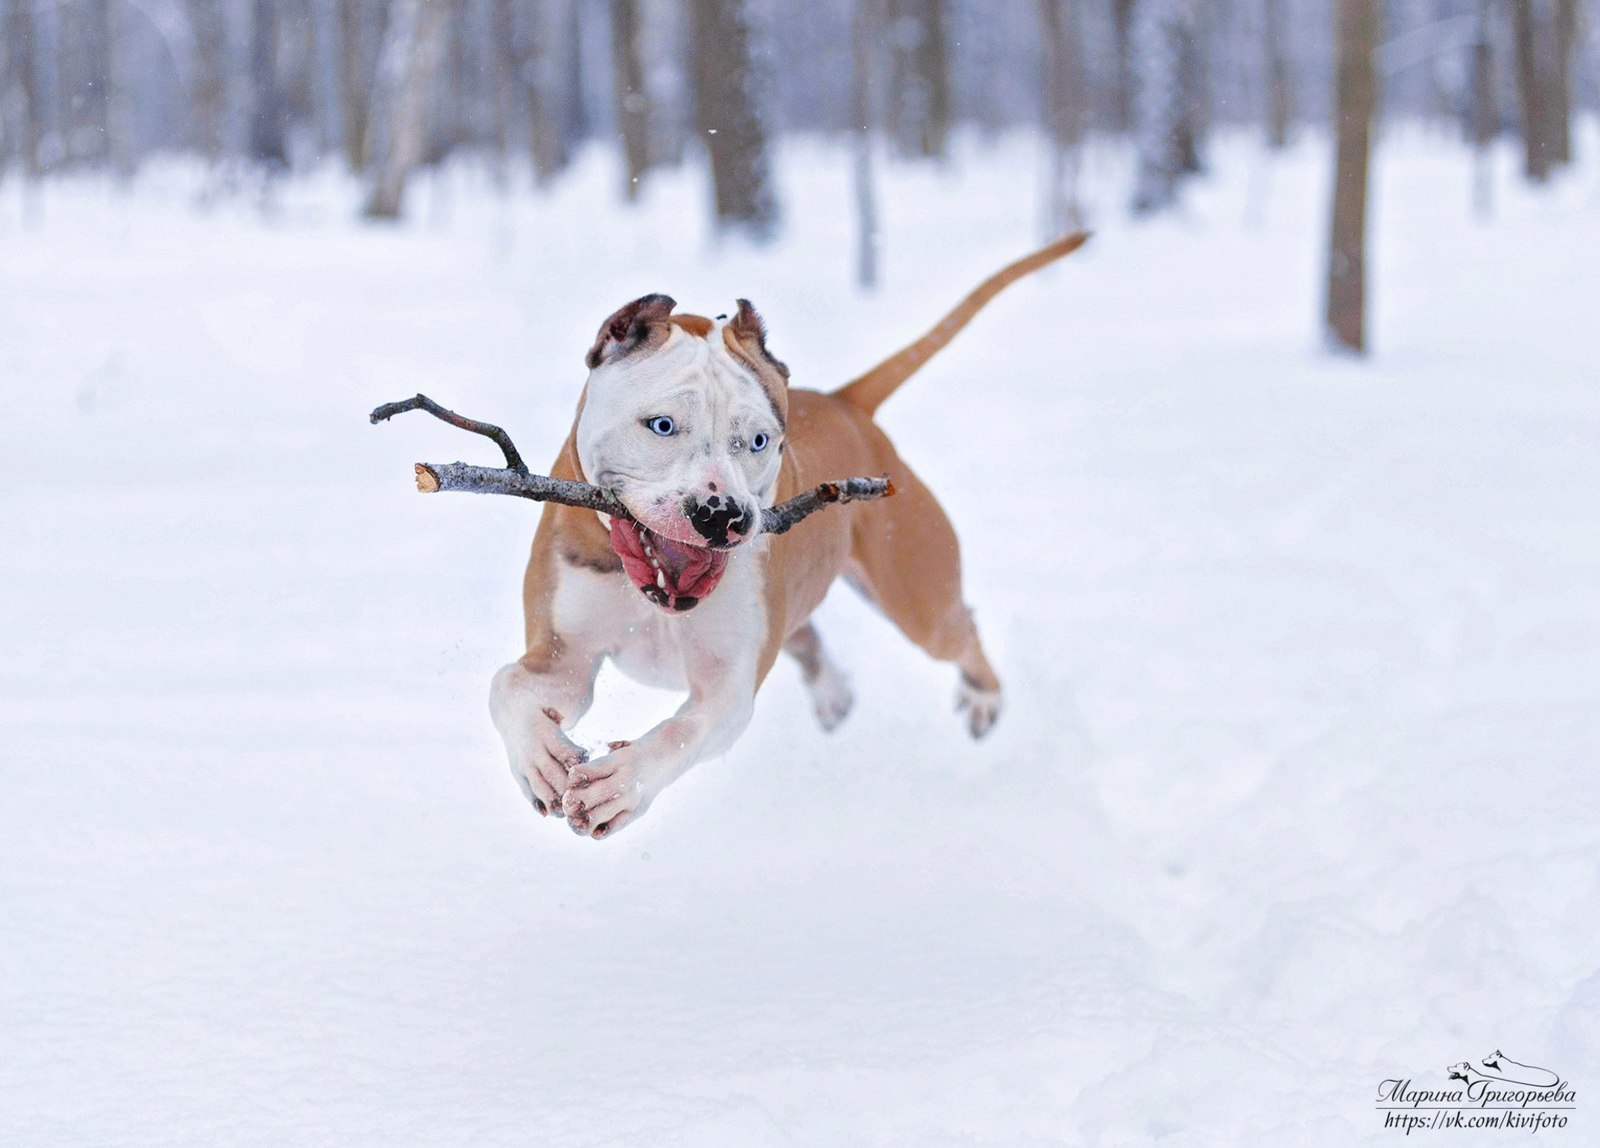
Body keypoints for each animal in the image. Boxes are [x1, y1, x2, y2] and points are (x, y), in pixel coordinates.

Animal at [486, 231, 1088, 837]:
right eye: (661, 425)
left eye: (758, 440)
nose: (721, 515)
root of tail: (846, 404)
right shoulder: (565, 656)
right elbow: (507, 685)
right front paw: (540, 760)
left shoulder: (728, 686)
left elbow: (684, 731)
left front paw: (623, 784)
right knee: (809, 635)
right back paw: (833, 692)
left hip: (917, 596)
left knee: (959, 629)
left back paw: (983, 695)